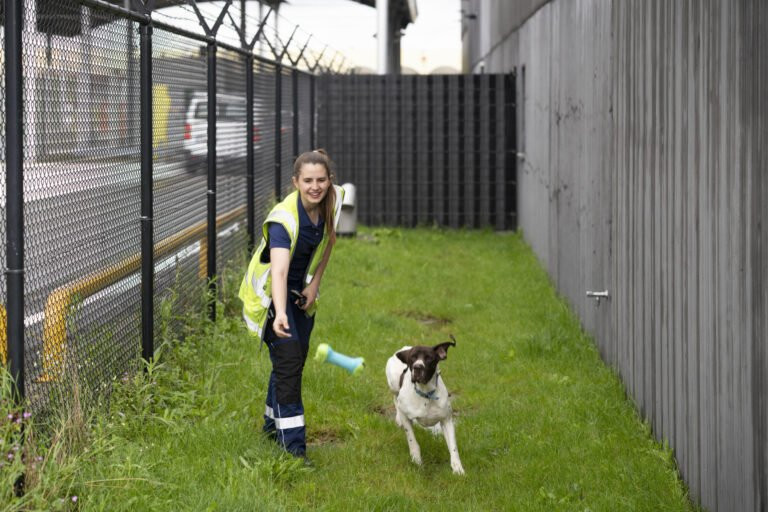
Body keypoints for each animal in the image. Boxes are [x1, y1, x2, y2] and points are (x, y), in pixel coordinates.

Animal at [384, 336, 462, 476]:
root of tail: (404, 348)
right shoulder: (406, 417)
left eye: (429, 358)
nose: (417, 367)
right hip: (393, 384)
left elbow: (453, 447)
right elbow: (412, 441)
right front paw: (416, 460)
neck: (425, 393)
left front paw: (457, 468)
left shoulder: (447, 420)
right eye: (412, 358)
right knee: (395, 397)